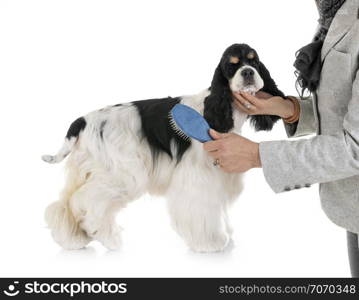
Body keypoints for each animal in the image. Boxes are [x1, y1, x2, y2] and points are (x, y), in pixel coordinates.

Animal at [42, 43, 286, 252]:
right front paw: (210, 243)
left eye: (254, 62)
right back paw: (108, 238)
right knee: (86, 200)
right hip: (122, 173)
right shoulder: (198, 176)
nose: (248, 72)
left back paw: (73, 239)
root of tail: (83, 121)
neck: (218, 110)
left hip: (86, 170)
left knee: (64, 203)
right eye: (231, 65)